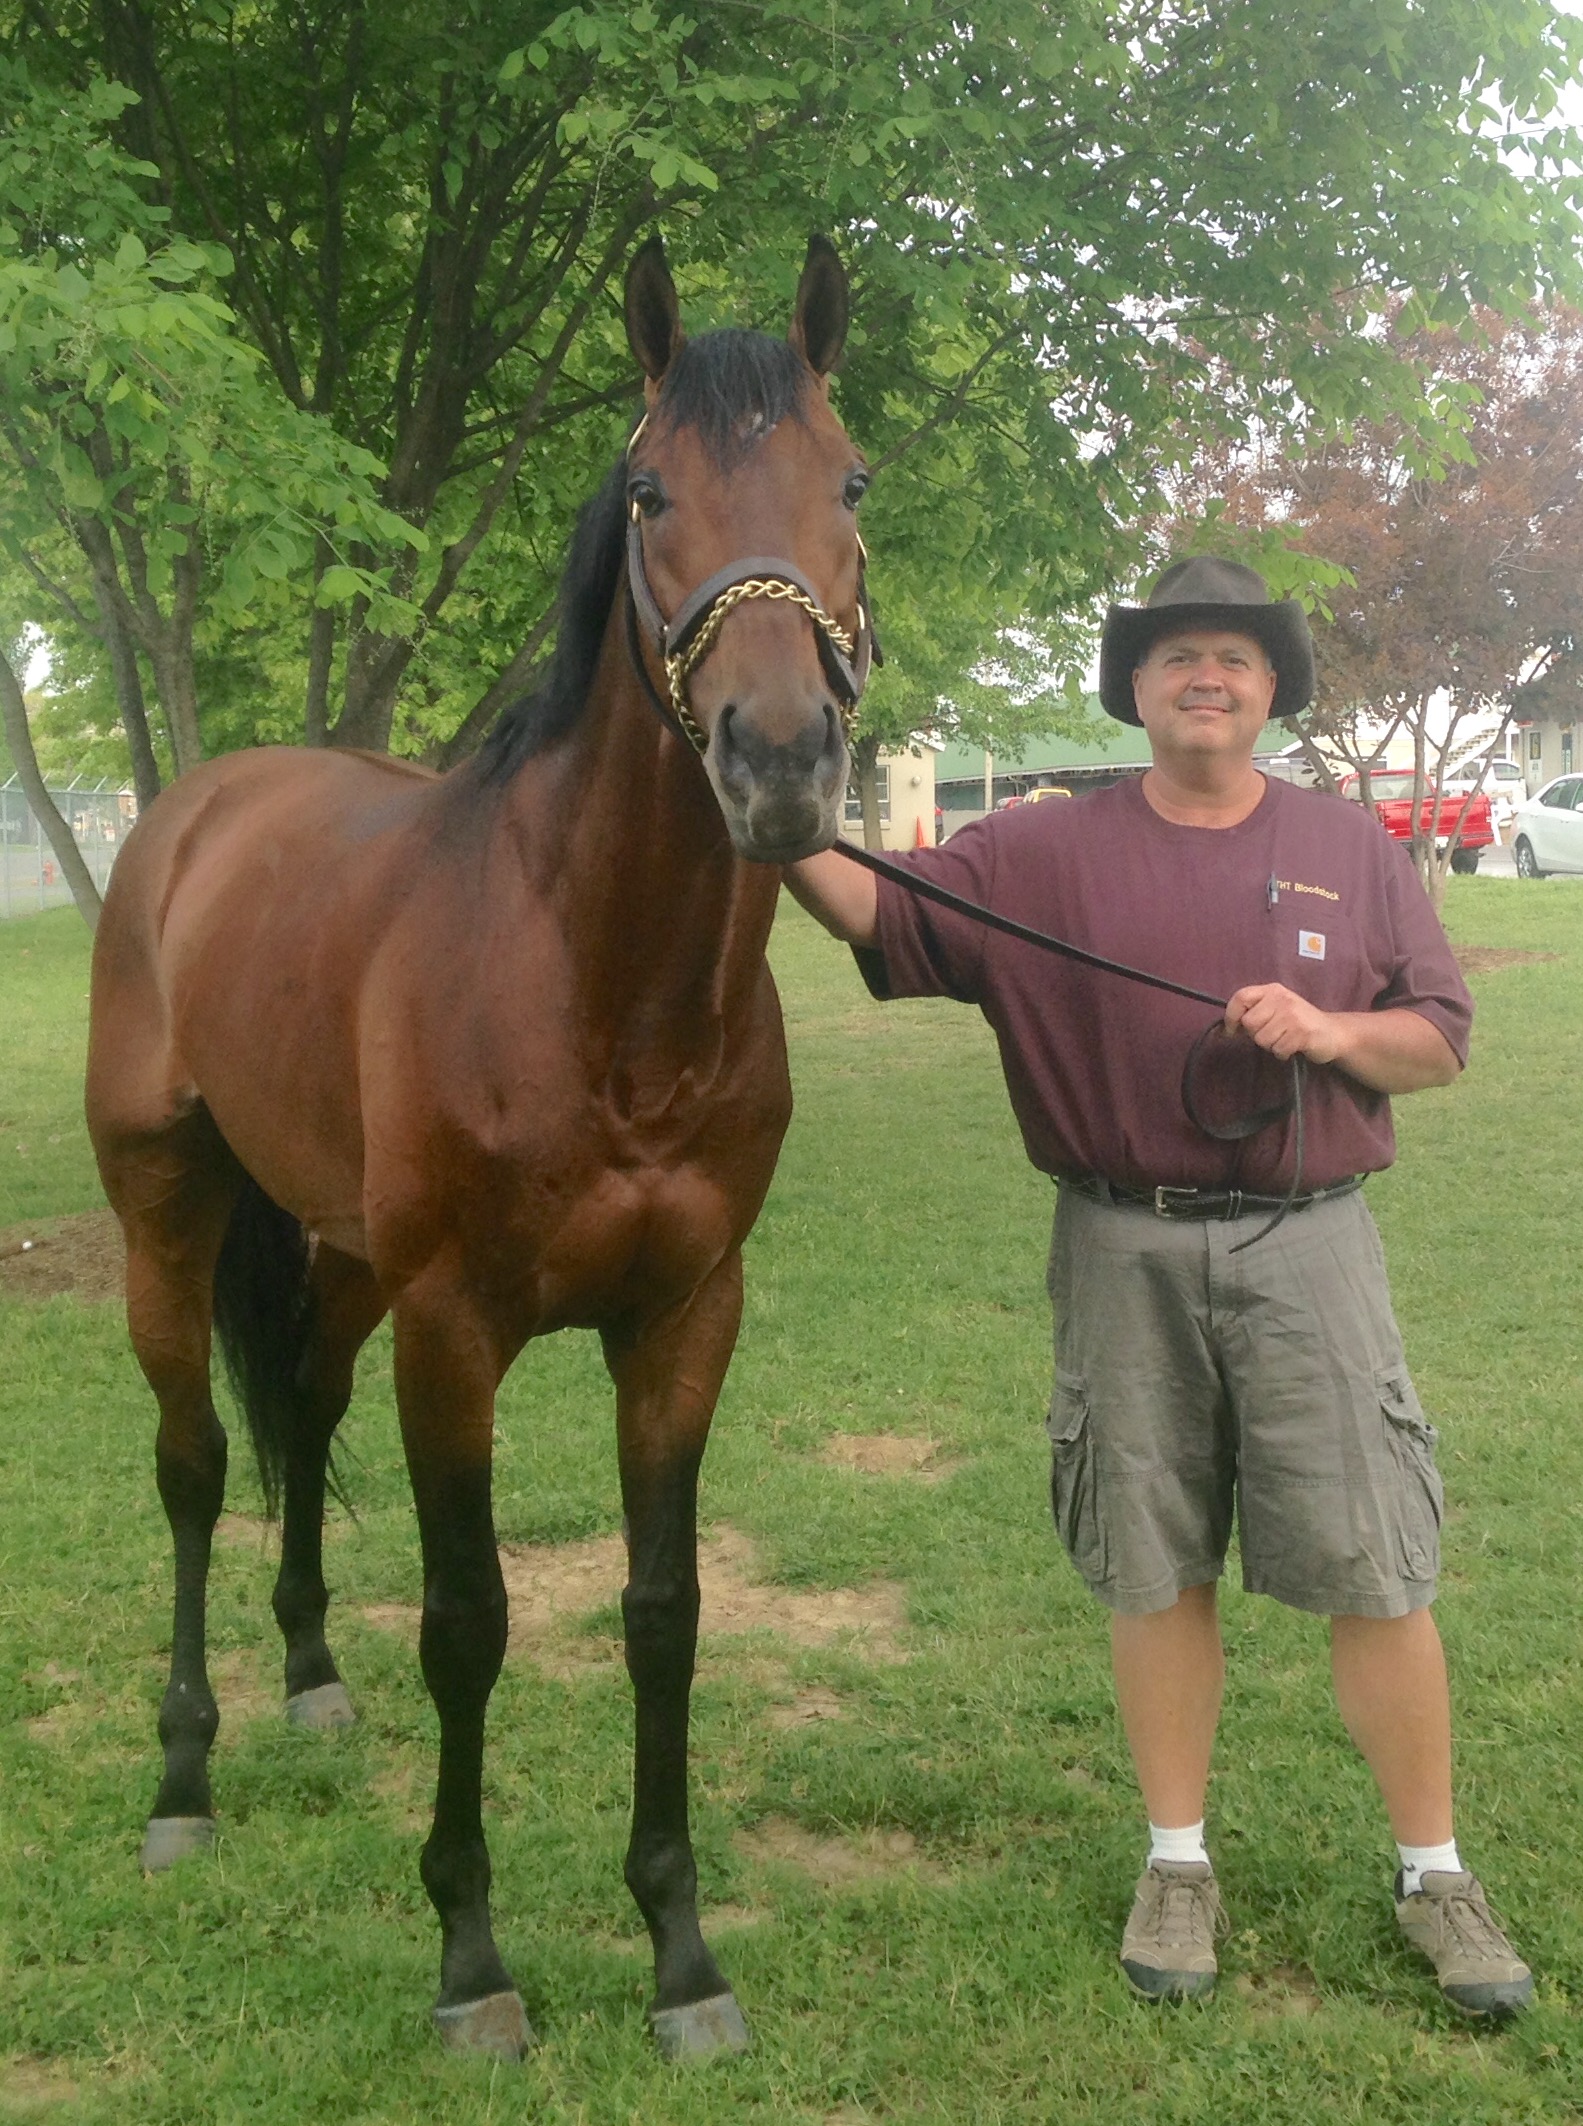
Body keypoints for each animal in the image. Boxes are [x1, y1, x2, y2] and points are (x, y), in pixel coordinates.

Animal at [83, 237, 875, 2057]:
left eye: (851, 481)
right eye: (649, 489)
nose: (779, 760)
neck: (596, 987)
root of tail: (191, 817)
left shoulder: (683, 1320)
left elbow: (662, 1614)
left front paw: (681, 1956)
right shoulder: (455, 1333)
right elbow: (469, 1623)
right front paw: (470, 1960)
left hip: (343, 1256)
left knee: (299, 1414)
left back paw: (309, 1684)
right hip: (166, 1213)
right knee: (196, 1464)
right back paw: (185, 1782)